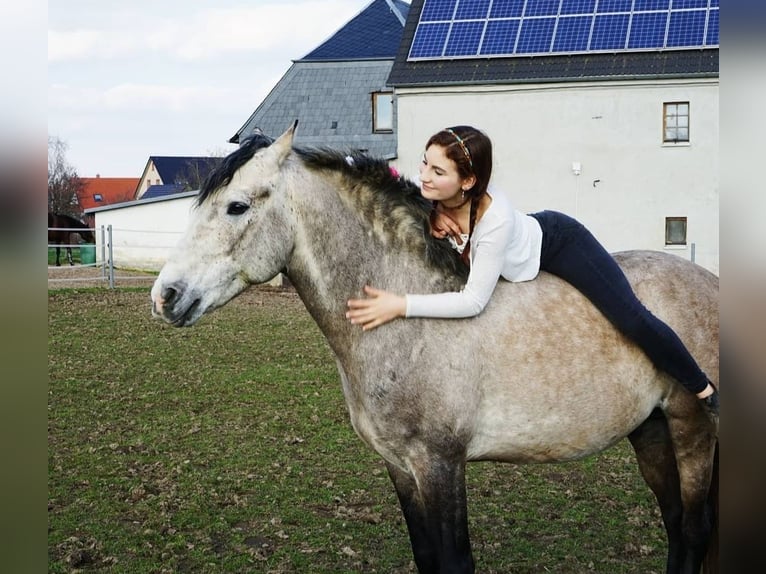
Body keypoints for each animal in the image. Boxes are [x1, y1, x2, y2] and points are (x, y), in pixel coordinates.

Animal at [150, 124, 720, 572]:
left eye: (236, 206)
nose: (165, 296)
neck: (409, 322)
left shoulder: (440, 464)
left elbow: (454, 560)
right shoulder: (401, 467)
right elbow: (426, 556)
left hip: (692, 428)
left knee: (694, 530)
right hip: (649, 431)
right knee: (676, 524)